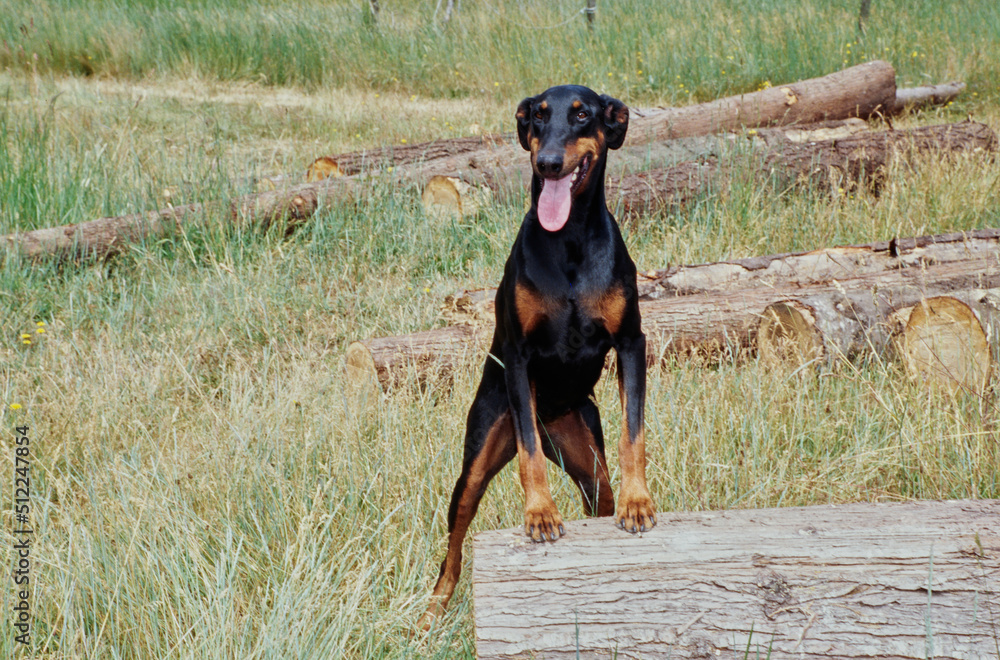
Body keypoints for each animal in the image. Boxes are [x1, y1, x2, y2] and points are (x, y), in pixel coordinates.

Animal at [416, 84, 656, 628]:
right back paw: (433, 610)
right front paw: (540, 513)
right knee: (454, 543)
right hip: (477, 457)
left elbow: (634, 433)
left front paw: (638, 503)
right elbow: (527, 454)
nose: (546, 163)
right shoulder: (519, 356)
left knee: (599, 494)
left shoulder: (631, 343)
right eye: (538, 118)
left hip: (587, 458)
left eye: (583, 115)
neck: (567, 242)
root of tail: (554, 420)